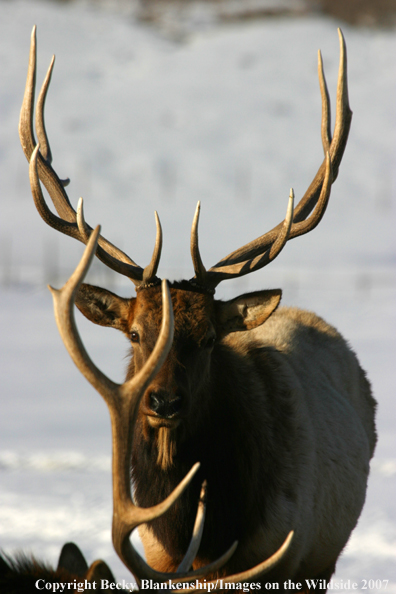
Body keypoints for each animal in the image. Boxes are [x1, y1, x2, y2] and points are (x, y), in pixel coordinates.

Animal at [19, 26, 378, 588]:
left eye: (209, 338)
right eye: (135, 334)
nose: (164, 401)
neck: (203, 537)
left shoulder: (281, 554)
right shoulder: (158, 565)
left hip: (322, 557)